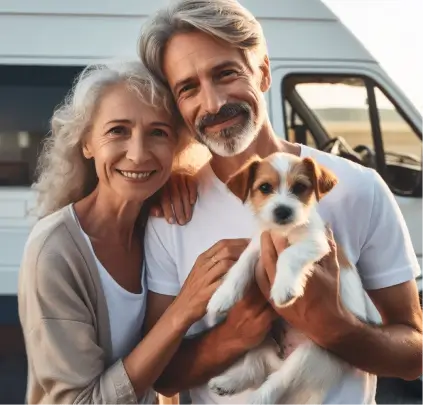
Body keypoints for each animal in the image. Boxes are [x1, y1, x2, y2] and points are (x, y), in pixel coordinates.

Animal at [207, 151, 382, 404]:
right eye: (265, 187)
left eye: (300, 187)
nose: (282, 211)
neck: (285, 231)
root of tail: (280, 359)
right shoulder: (260, 243)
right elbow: (242, 264)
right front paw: (223, 297)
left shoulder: (316, 243)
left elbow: (289, 255)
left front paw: (284, 289)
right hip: (261, 336)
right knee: (255, 367)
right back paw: (227, 382)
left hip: (309, 354)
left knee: (278, 382)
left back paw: (258, 398)